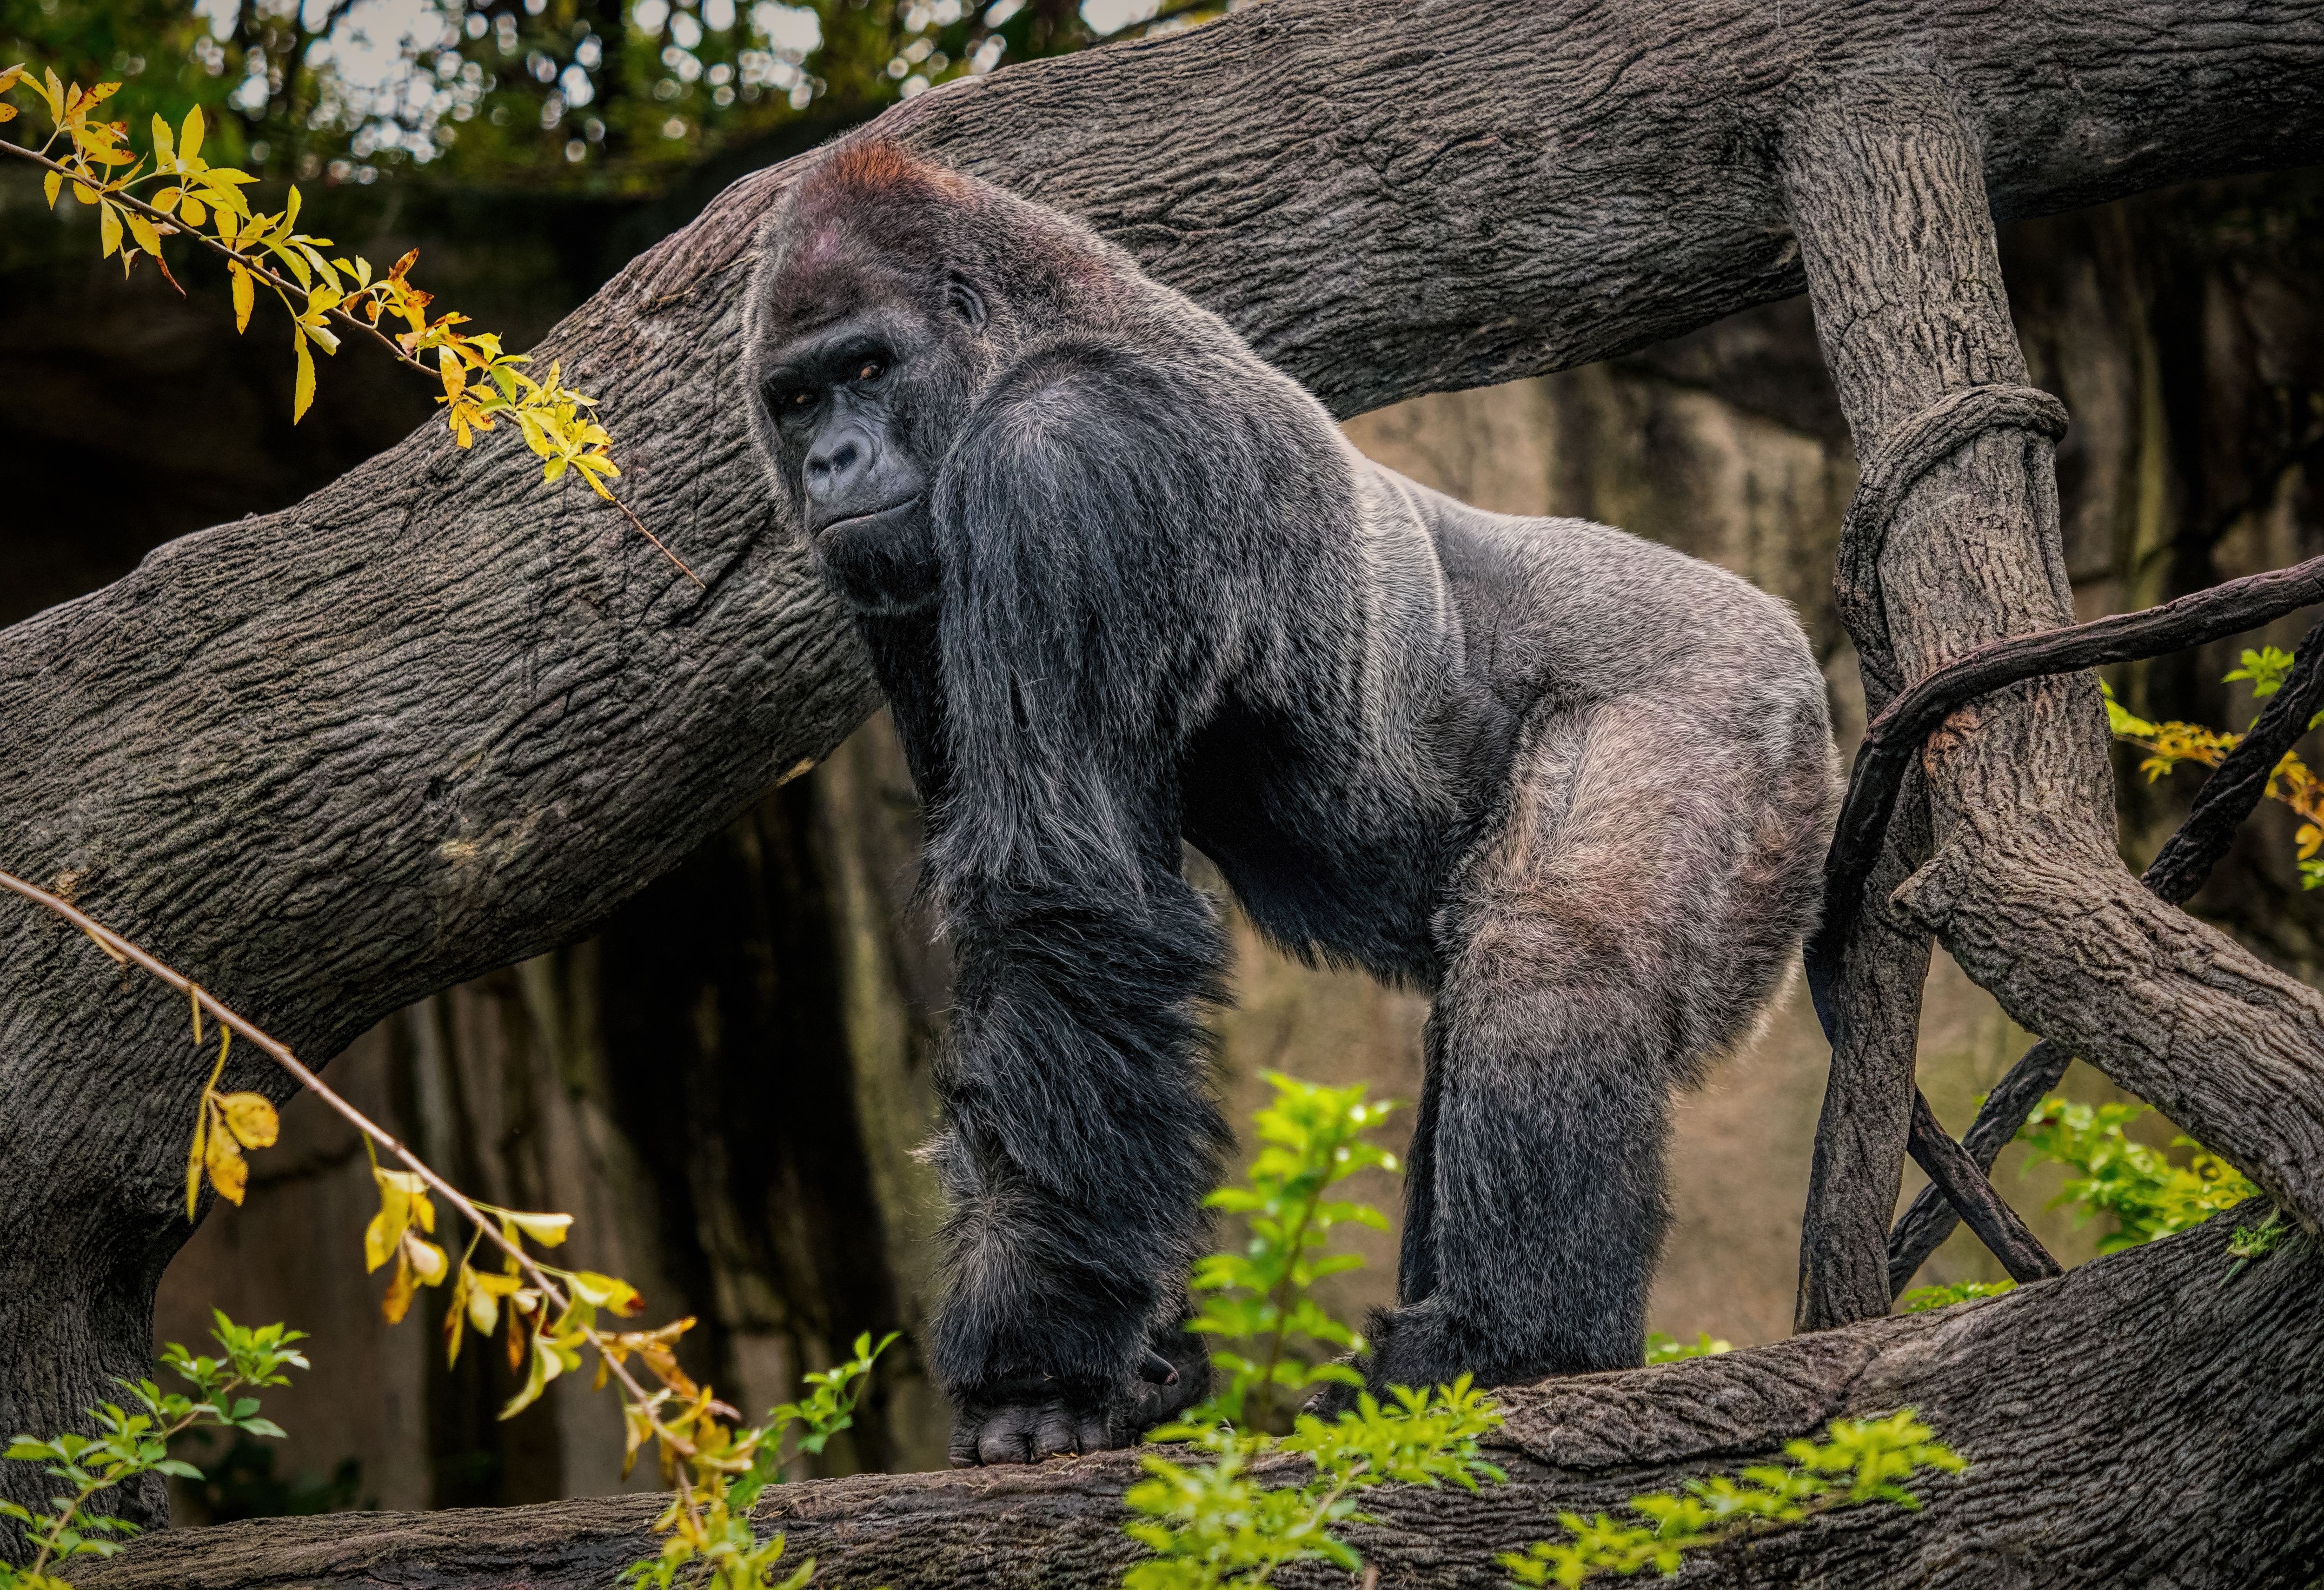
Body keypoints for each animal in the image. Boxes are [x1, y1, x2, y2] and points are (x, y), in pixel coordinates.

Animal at [744, 143, 1831, 1469]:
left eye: (866, 369)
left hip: (1729, 695)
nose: (831, 464)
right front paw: (1144, 1357)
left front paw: (1035, 1365)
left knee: (1549, 949)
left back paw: (1514, 1342)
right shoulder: (900, 581)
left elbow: (1062, 905)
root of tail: (1786, 631)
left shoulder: (1060, 460)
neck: (1017, 334)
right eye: (797, 399)